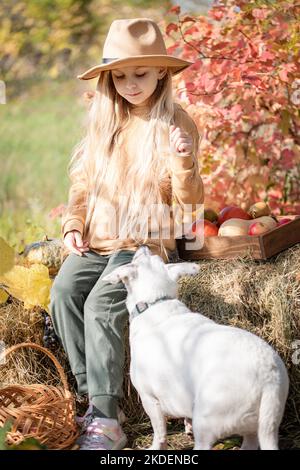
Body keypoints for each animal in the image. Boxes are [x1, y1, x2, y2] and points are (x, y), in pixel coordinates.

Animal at [102, 244, 290, 450]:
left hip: (207, 422)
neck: (156, 302)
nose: (143, 246)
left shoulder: (149, 399)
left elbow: (159, 431)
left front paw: (156, 446)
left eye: (137, 259)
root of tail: (269, 380)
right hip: (257, 425)